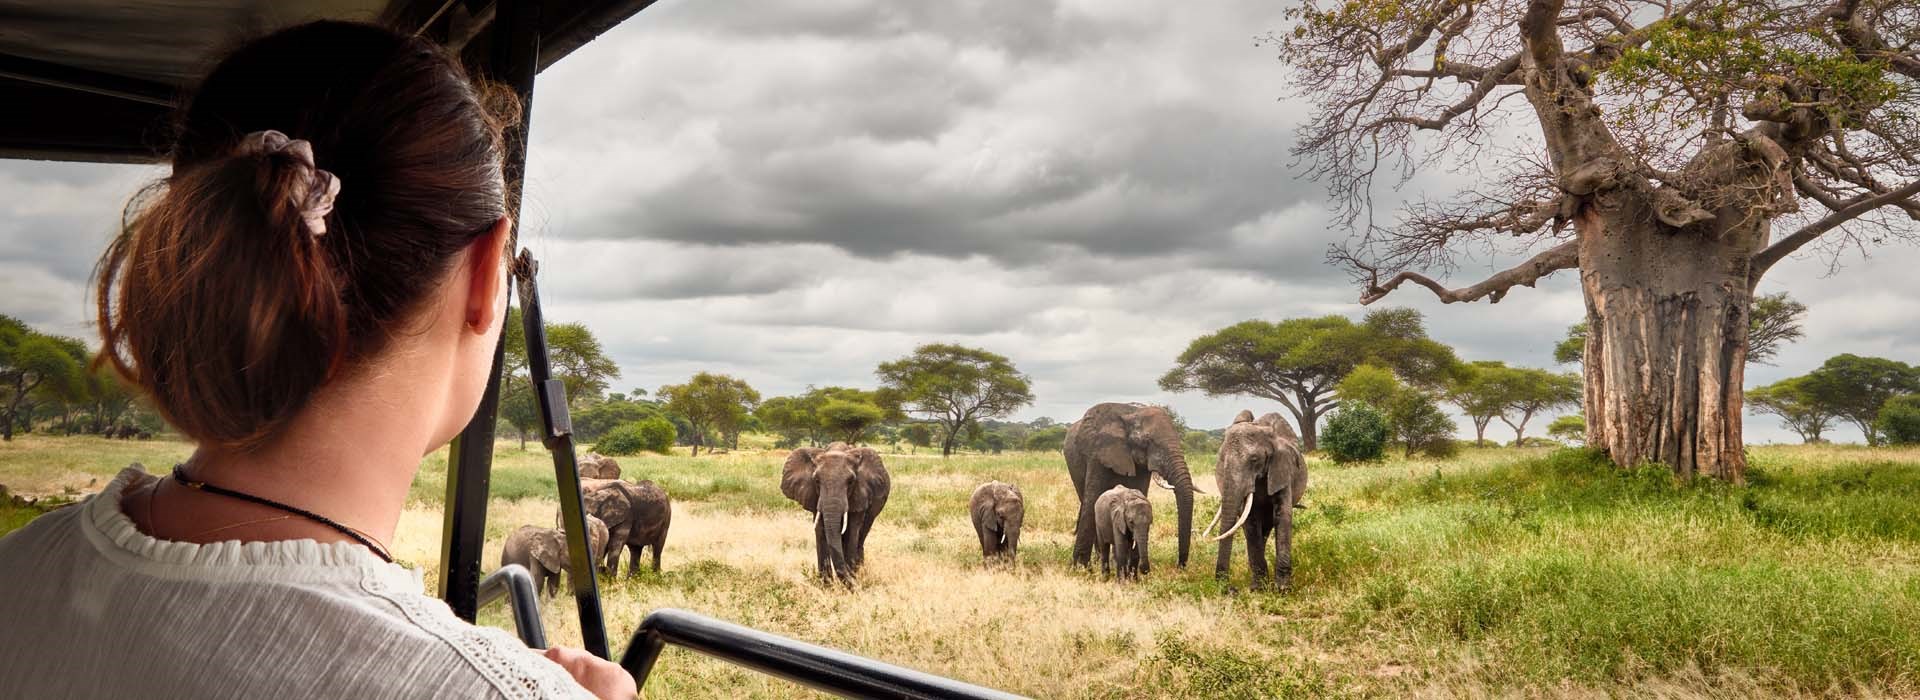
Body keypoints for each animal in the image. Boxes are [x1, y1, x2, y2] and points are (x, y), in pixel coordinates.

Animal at [779, 441, 890, 583]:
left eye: (850, 481)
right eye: (816, 481)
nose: (854, 584)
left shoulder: (860, 495)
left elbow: (852, 531)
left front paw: (852, 579)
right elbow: (821, 531)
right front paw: (827, 585)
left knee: (861, 536)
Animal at [1059, 400, 1190, 571]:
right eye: (1146, 442)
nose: (1180, 566)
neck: (1132, 413)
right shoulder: (1098, 453)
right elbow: (1092, 500)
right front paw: (1079, 569)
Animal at [1205, 408, 1313, 590]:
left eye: (1254, 459)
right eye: (1222, 461)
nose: (1231, 589)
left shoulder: (1283, 471)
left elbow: (1283, 516)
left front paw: (1282, 590)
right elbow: (1251, 520)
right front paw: (1258, 589)